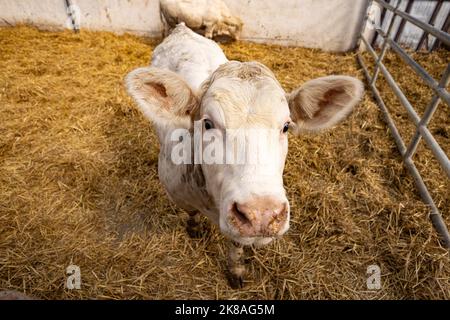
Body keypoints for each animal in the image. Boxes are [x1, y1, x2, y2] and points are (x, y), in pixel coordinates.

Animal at [125, 23, 364, 286]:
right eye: (207, 123)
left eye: (286, 126)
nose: (262, 214)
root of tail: (182, 29)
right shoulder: (178, 193)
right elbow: (192, 213)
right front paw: (195, 228)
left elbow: (237, 244)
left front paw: (236, 269)